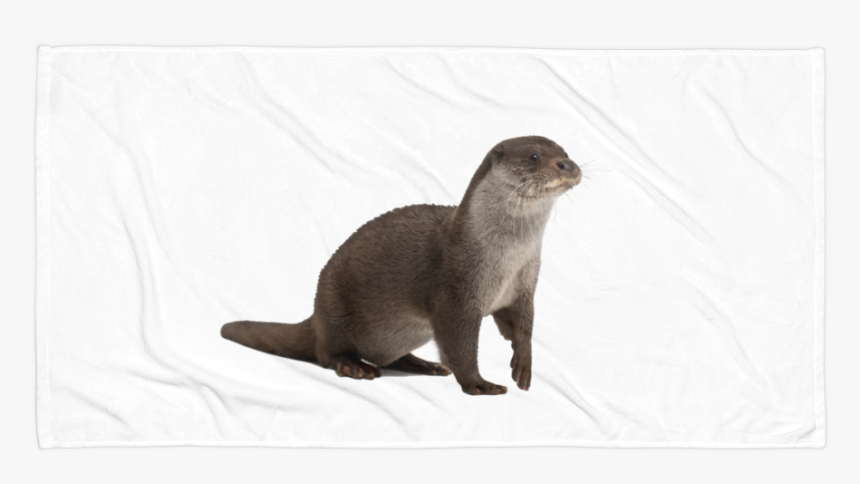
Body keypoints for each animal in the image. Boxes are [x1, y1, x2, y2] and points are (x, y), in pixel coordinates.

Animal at [221, 136, 581, 396]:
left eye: (565, 150)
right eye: (534, 156)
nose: (567, 164)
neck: (505, 260)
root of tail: (316, 315)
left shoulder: (523, 287)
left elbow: (521, 327)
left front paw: (524, 363)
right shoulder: (455, 293)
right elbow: (460, 345)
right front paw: (477, 383)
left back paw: (424, 365)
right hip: (334, 304)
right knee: (327, 353)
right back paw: (354, 366)